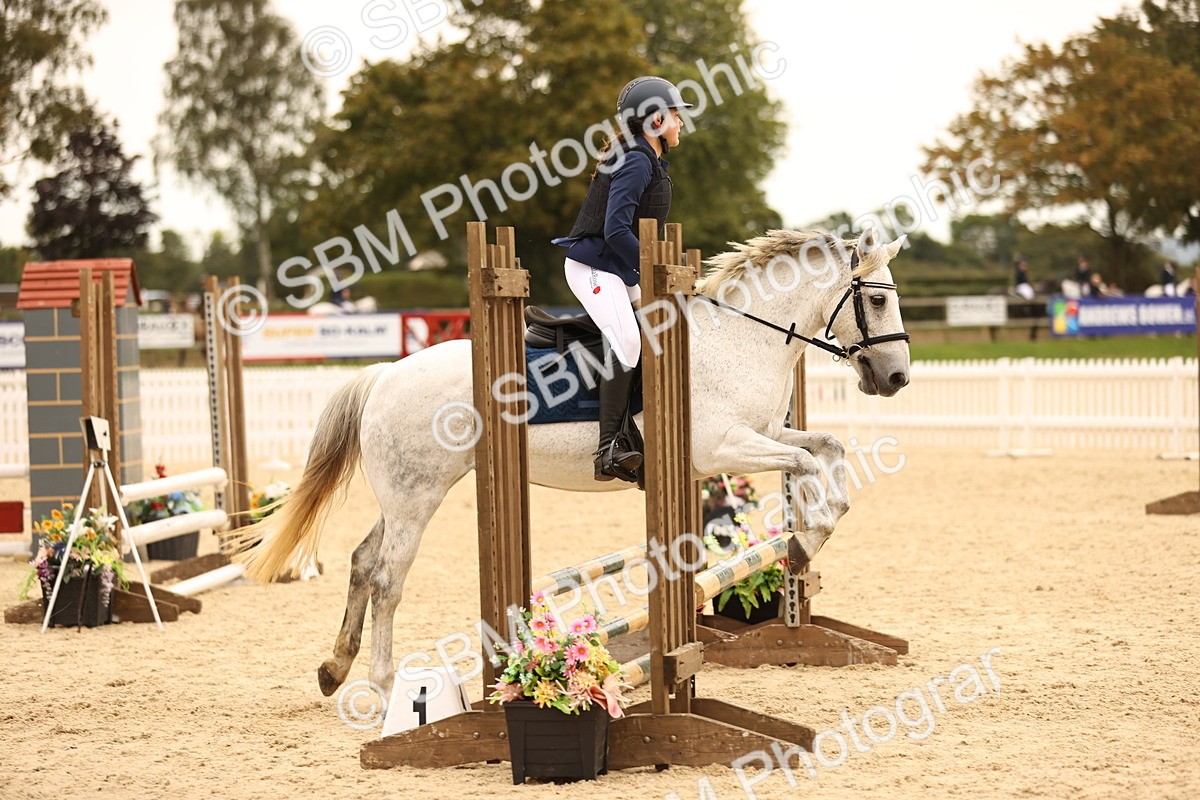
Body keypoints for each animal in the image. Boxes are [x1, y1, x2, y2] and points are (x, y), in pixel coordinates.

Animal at [235, 228, 912, 697]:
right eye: (878, 301)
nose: (897, 379)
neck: (739, 339)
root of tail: (385, 374)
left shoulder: (762, 432)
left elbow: (826, 450)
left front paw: (810, 536)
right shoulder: (721, 446)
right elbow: (804, 461)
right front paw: (805, 540)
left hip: (407, 494)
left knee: (361, 560)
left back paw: (334, 669)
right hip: (416, 496)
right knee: (386, 578)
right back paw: (380, 687)